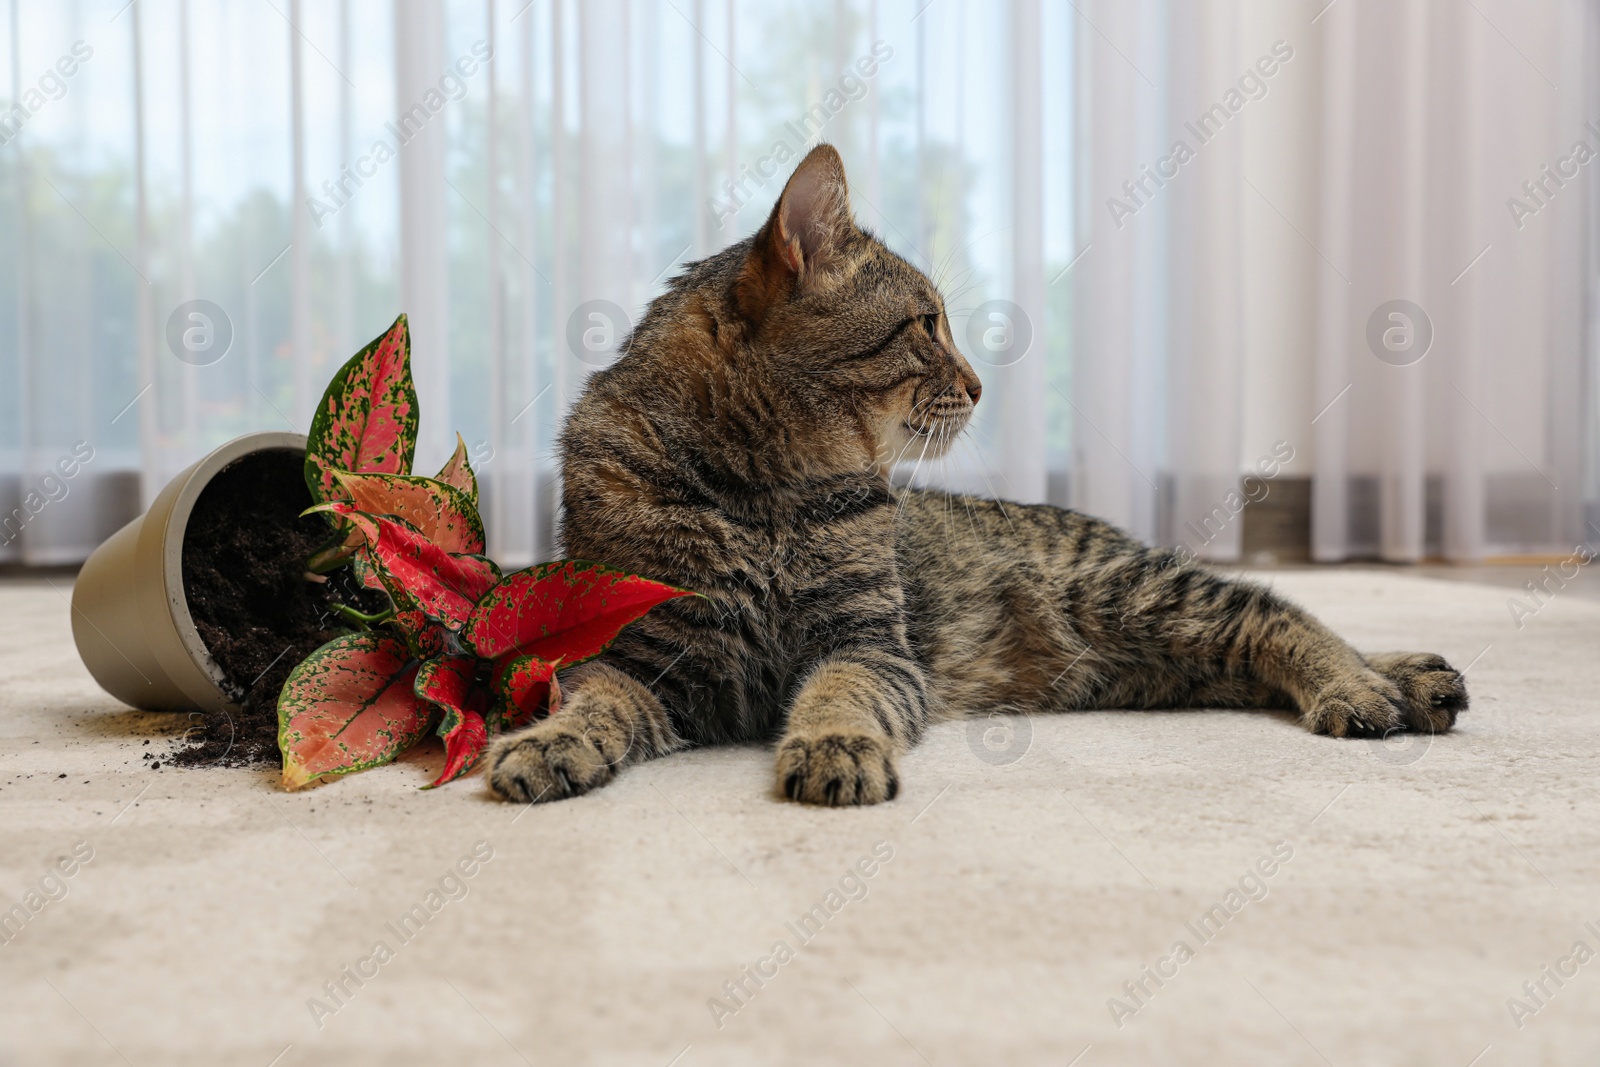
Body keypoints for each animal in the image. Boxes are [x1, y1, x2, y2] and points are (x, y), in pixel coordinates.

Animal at [483, 146, 1465, 806]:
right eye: (926, 324)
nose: (983, 383)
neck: (763, 498)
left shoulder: (868, 642)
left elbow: (841, 692)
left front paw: (834, 744)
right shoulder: (644, 660)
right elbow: (594, 702)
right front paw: (549, 741)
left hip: (1139, 594)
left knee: (1277, 614)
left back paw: (1363, 686)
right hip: (1154, 661)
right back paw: (1410, 678)